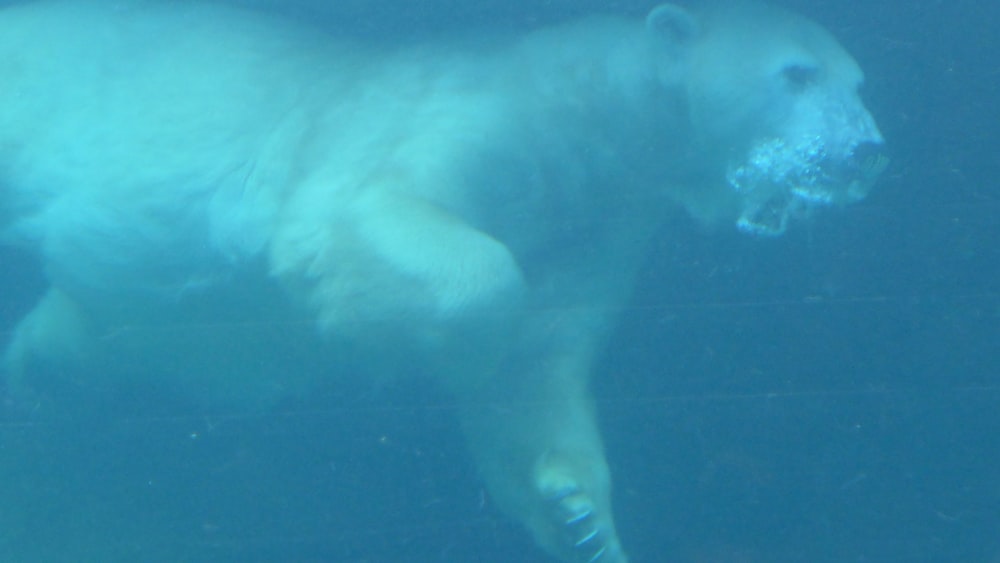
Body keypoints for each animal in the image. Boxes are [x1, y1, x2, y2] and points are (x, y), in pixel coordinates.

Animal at [0, 2, 884, 560]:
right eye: (796, 73)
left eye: (857, 81)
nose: (864, 150)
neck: (587, 120)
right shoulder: (457, 116)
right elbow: (377, 224)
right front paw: (430, 349)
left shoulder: (596, 222)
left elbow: (541, 362)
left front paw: (581, 517)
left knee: (85, 332)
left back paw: (37, 373)